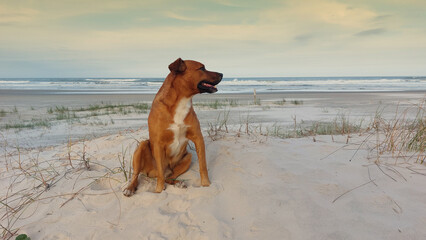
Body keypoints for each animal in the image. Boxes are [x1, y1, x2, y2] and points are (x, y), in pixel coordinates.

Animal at [123, 57, 223, 195]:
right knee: (141, 175)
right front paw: (159, 191)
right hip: (142, 147)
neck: (181, 101)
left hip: (187, 157)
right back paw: (130, 188)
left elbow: (203, 166)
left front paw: (206, 184)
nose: (222, 74)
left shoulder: (198, 138)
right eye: (202, 68)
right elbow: (160, 176)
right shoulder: (158, 144)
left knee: (169, 177)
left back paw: (179, 183)